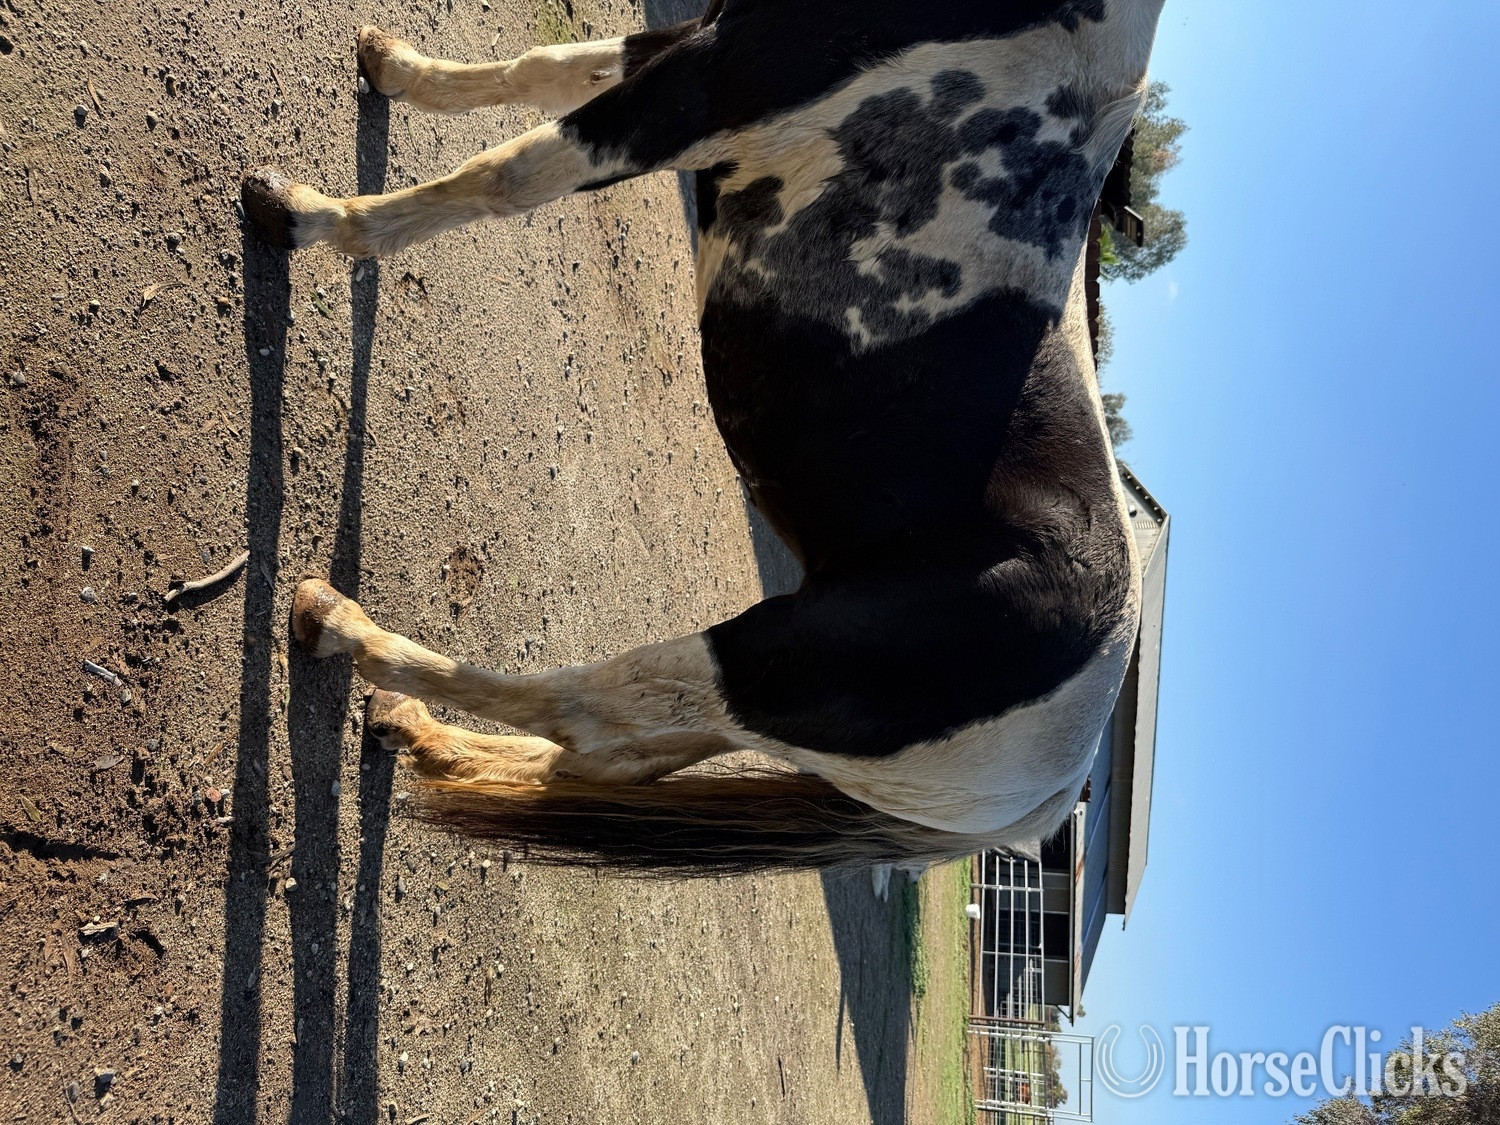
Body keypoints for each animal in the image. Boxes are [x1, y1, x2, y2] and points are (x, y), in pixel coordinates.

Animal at [243, 0, 1166, 875]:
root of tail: (1051, 791)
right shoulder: (704, 39)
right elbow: (545, 67)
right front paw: (390, 65)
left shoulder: (707, 88)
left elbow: (506, 175)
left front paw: (308, 218)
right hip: (755, 714)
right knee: (609, 759)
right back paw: (420, 735)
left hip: (762, 664)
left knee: (582, 711)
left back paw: (337, 625)